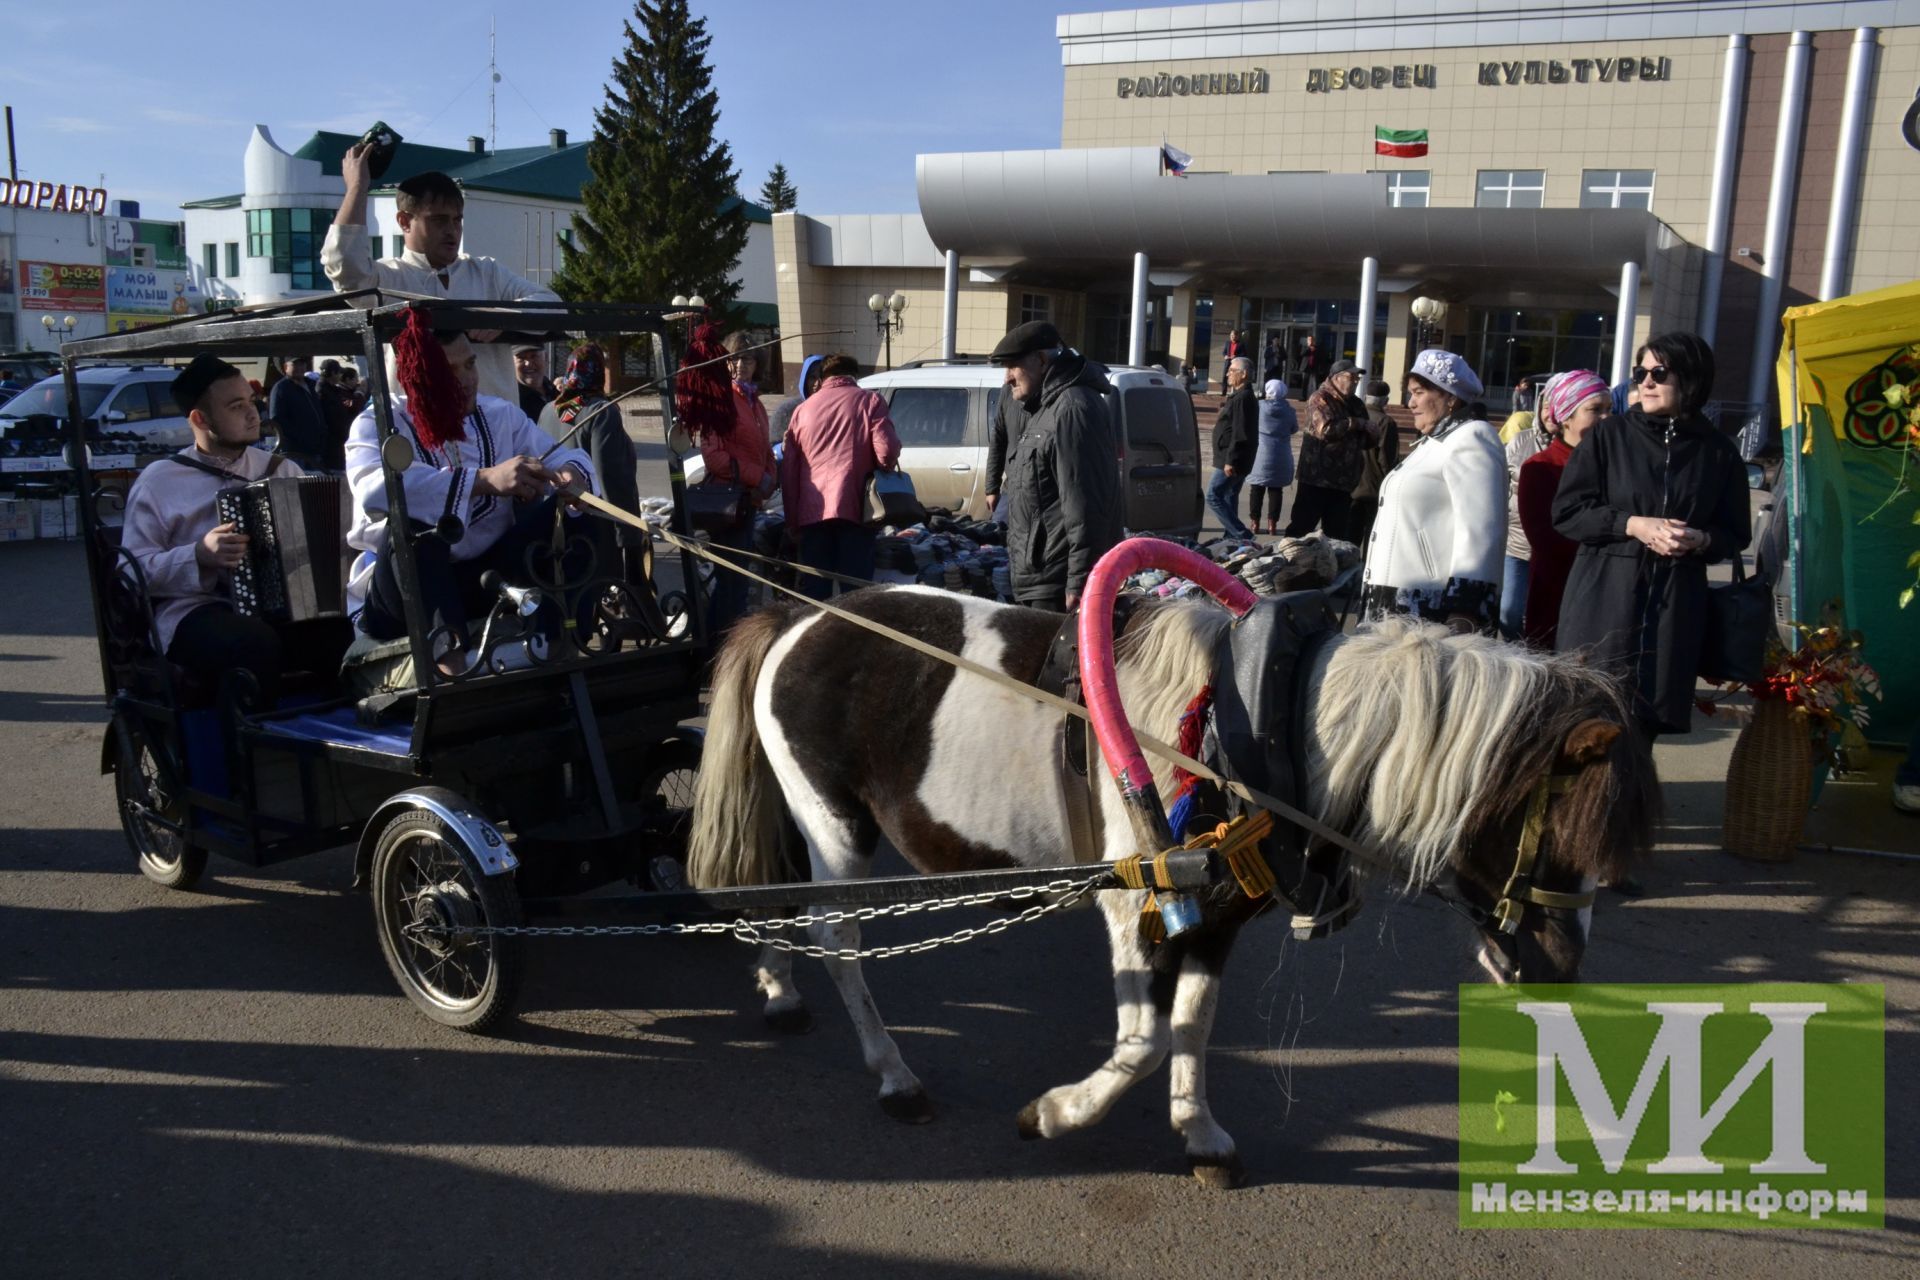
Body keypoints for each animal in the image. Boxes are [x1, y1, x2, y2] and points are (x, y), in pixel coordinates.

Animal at [683, 591, 1658, 1189]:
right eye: (1553, 831)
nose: (1562, 967)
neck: (1251, 729)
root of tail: (794, 616)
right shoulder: (1136, 906)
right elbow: (1145, 1039)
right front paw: (1056, 1114)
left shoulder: (1219, 915)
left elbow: (1192, 1020)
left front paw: (1200, 1134)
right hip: (837, 828)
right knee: (839, 943)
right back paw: (892, 1073)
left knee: (777, 901)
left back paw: (777, 990)